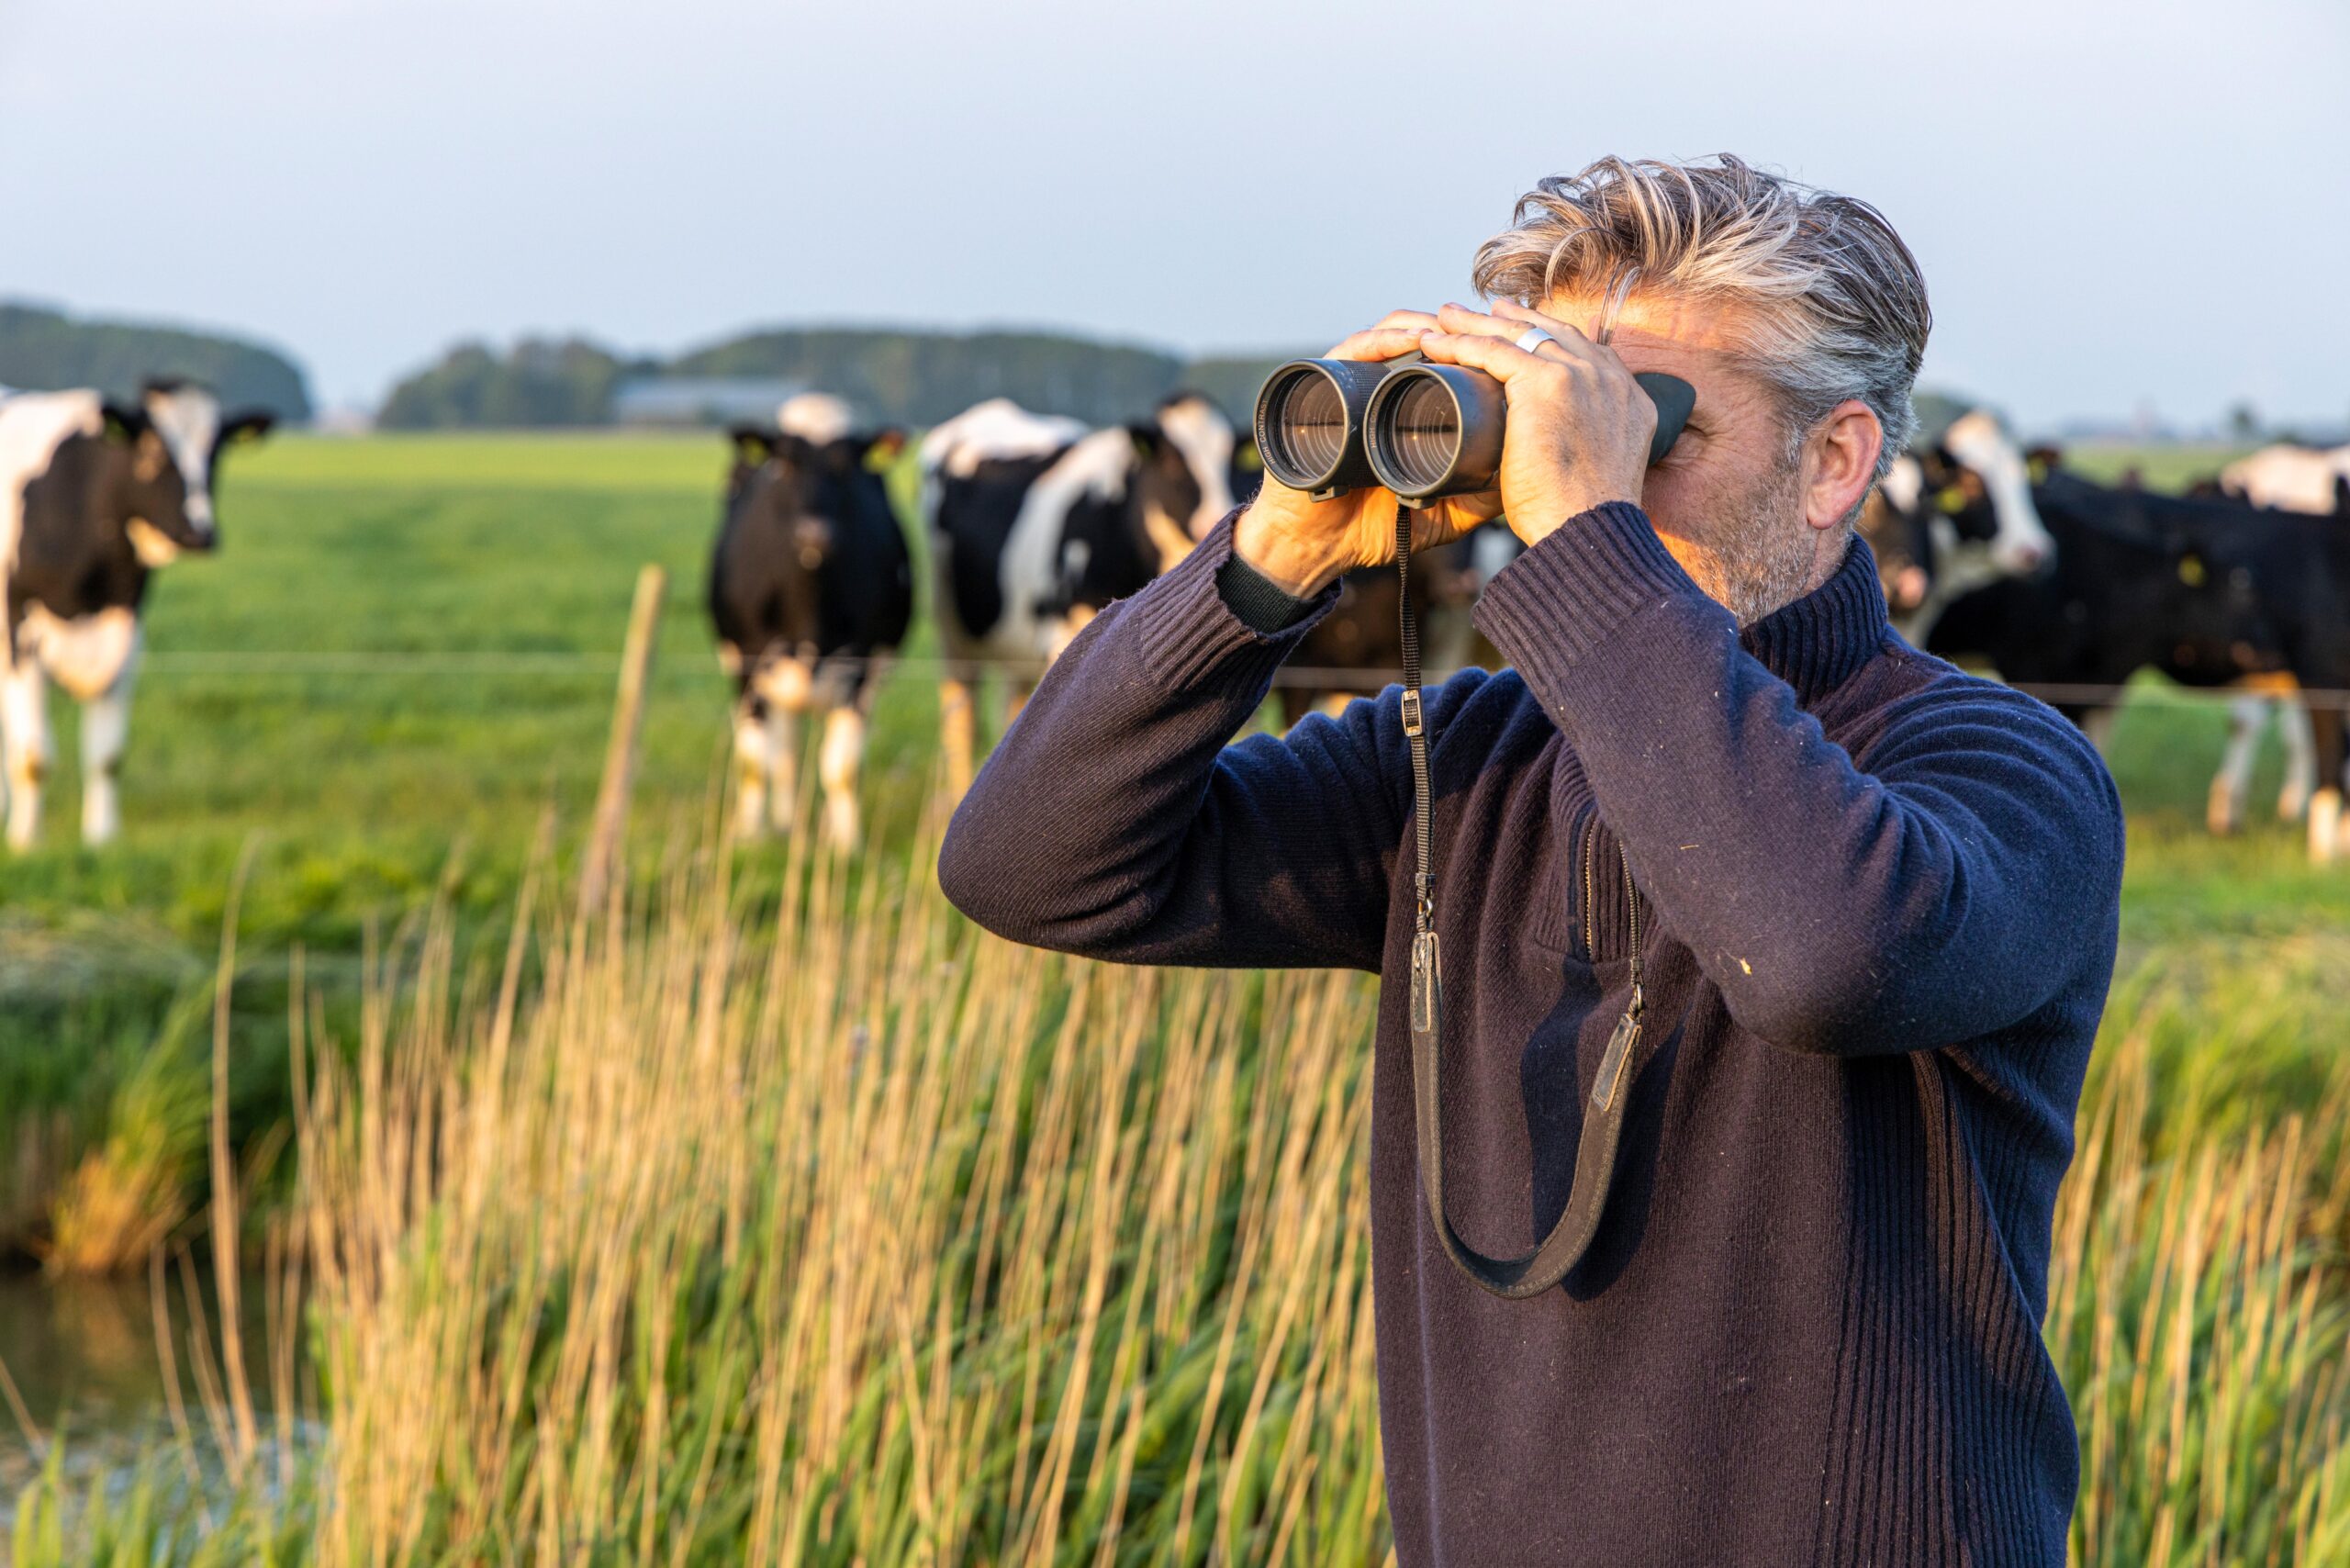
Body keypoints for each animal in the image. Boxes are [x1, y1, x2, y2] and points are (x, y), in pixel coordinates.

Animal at [0, 378, 270, 846]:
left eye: (216, 451)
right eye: (154, 450)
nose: (200, 533)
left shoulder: (125, 634)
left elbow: (108, 755)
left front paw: (102, 839)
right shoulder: (20, 631)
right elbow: (34, 757)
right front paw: (26, 841)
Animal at [705, 399, 907, 850]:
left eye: (846, 468)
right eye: (785, 464)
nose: (814, 535)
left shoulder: (861, 670)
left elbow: (843, 769)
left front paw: (848, 846)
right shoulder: (748, 665)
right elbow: (755, 764)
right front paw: (751, 837)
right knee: (783, 753)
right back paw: (782, 822)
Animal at [921, 387, 1240, 790]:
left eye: (1228, 459)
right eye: (1170, 459)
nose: (1214, 518)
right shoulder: (1061, 634)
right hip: (952, 633)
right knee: (961, 721)